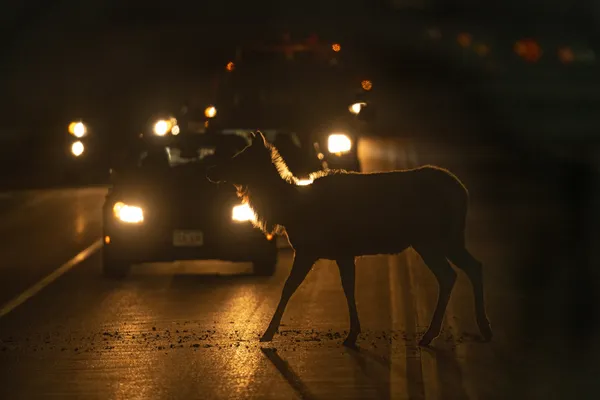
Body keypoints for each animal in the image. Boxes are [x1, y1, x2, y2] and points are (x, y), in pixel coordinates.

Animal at [206, 132, 492, 346]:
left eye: (241, 157)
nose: (212, 171)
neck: (289, 210)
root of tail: (463, 192)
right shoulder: (343, 253)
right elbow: (348, 287)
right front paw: (353, 333)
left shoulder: (310, 250)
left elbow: (289, 286)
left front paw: (267, 333)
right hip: (448, 238)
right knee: (470, 267)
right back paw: (480, 328)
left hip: (431, 238)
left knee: (450, 274)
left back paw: (436, 333)